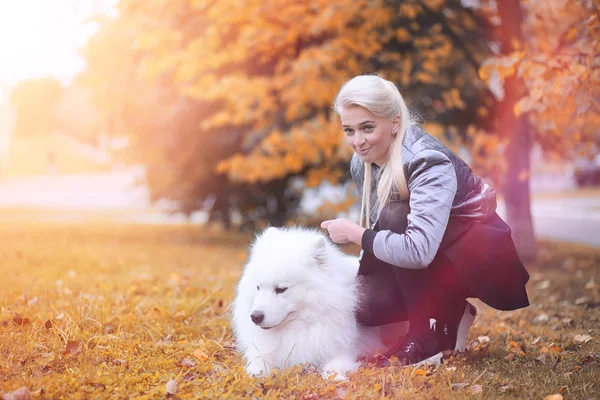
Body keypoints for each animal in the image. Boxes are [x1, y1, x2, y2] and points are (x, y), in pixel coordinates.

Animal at [232, 227, 406, 380]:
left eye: (281, 289)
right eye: (258, 287)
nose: (255, 317)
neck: (299, 327)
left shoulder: (342, 350)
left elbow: (333, 368)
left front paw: (336, 378)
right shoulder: (264, 351)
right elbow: (257, 365)